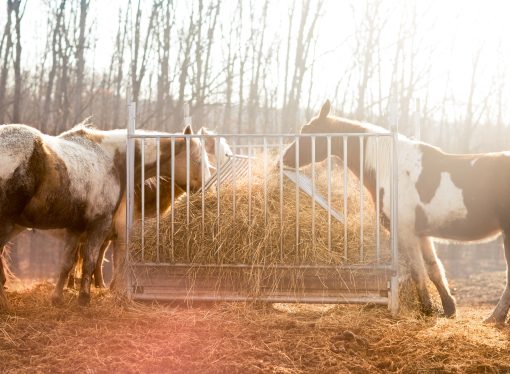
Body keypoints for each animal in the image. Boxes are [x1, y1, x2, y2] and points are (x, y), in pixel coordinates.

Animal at [0, 121, 208, 308]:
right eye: (197, 159)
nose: (206, 188)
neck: (112, 160)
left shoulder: (76, 228)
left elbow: (67, 263)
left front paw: (57, 298)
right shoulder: (100, 225)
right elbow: (91, 262)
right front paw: (84, 299)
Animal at [282, 101, 510, 322]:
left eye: (307, 131)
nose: (284, 158)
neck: (392, 170)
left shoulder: (405, 233)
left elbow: (418, 272)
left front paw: (427, 309)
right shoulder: (422, 235)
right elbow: (433, 269)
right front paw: (448, 309)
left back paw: (495, 318)